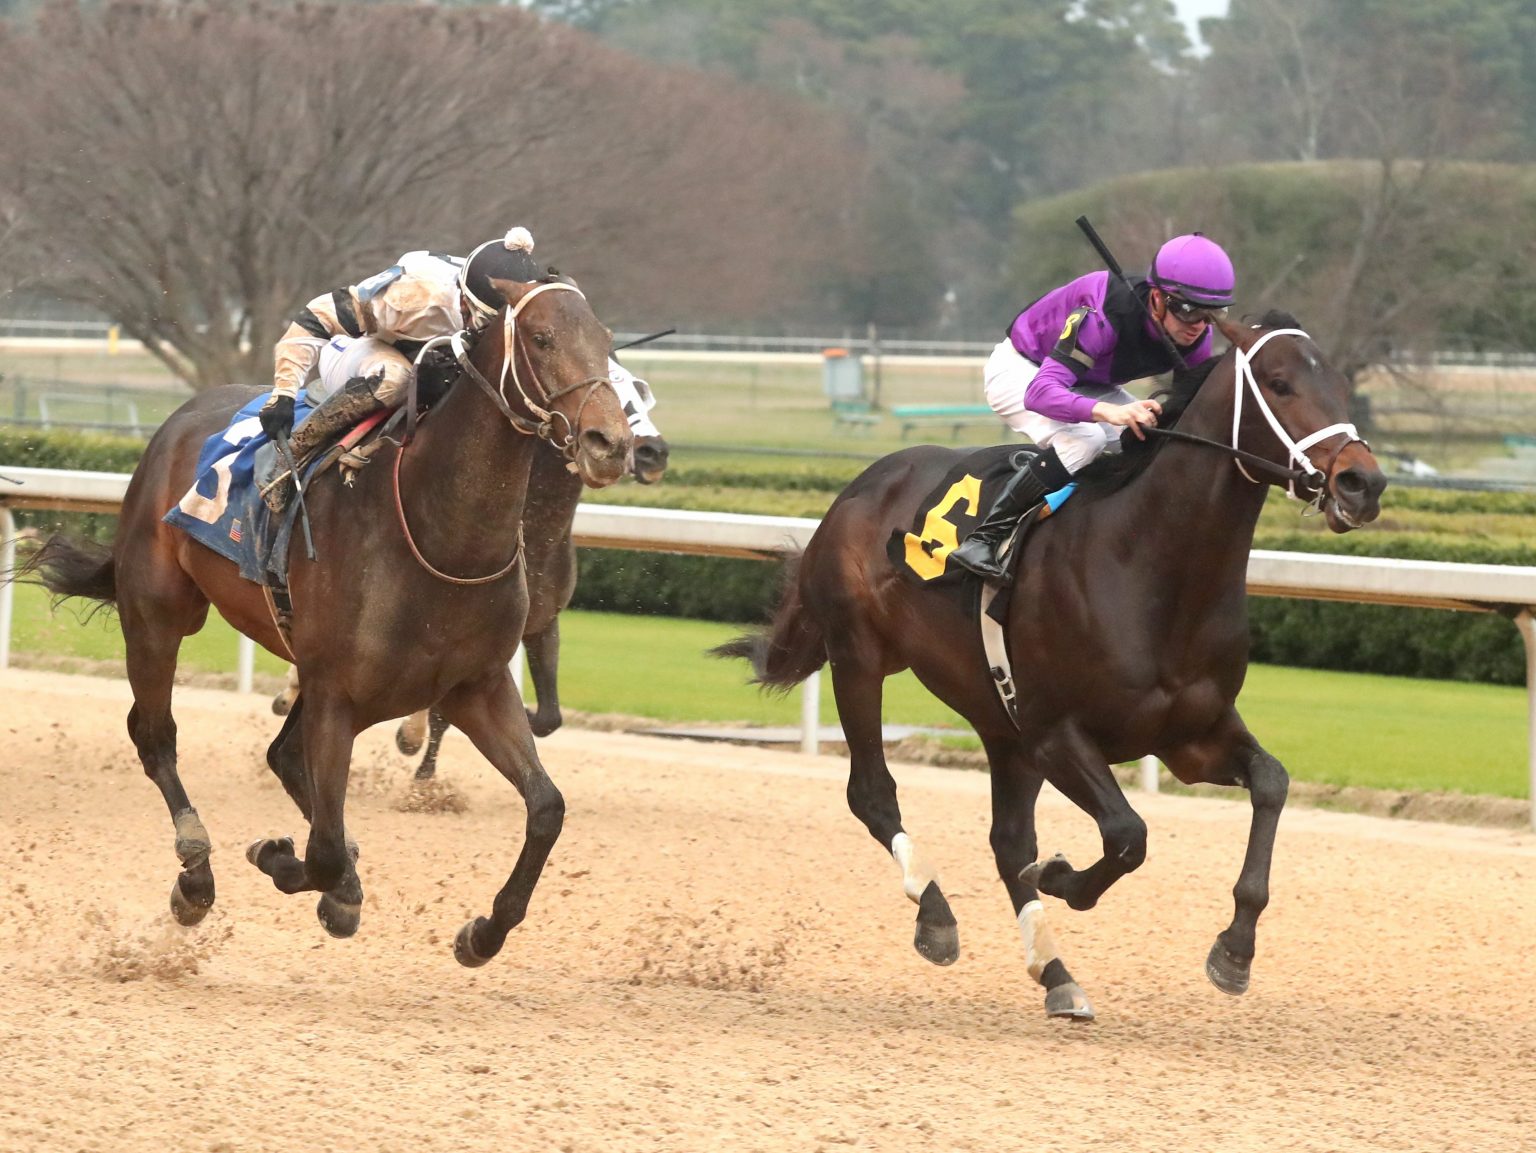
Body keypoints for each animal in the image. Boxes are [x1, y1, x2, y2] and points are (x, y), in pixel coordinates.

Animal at [18, 270, 629, 964]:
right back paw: (196, 874)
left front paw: (483, 932)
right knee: (155, 737)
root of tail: (176, 422)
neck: (439, 533)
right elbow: (326, 850)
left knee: (281, 755)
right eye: (542, 337)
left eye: (607, 340)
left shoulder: (476, 685)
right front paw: (283, 858)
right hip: (158, 615)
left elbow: (546, 807)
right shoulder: (338, 692)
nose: (611, 443)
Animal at [718, 313, 1394, 1019]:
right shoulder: (1055, 733)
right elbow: (1127, 832)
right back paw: (936, 915)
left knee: (1008, 839)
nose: (1362, 483)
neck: (1150, 565)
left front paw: (1234, 949)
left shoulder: (1191, 735)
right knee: (874, 794)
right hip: (860, 658)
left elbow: (1272, 783)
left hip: (998, 719)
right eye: (1280, 383)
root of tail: (857, 488)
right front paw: (1065, 878)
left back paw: (1056, 974)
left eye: (1342, 384)